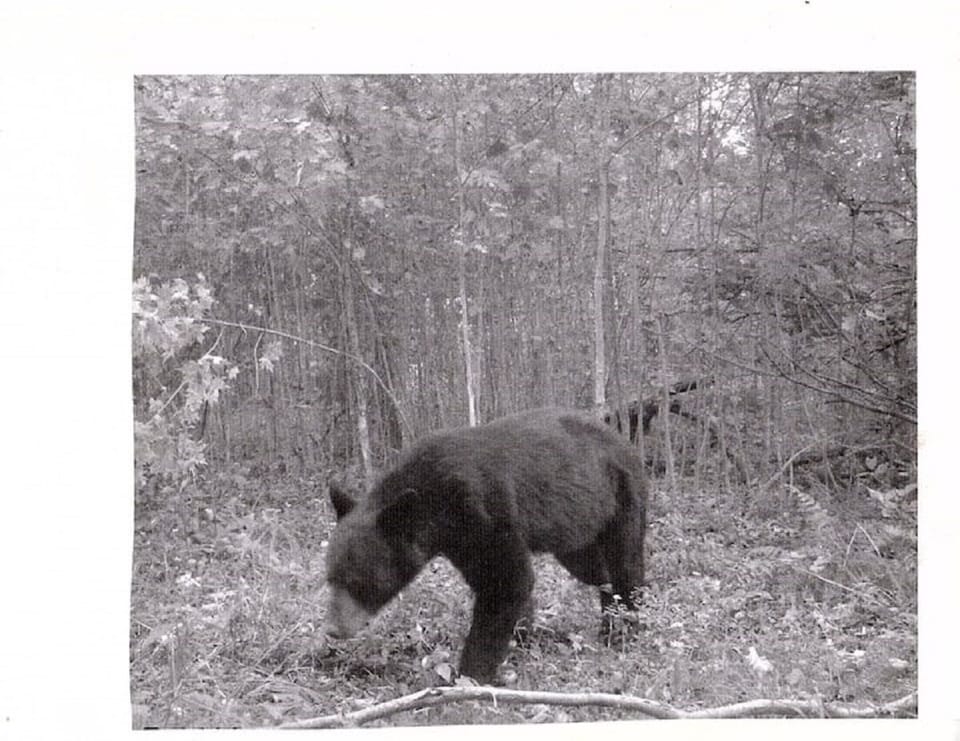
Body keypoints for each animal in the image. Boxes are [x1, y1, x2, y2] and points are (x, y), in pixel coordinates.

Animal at [323, 408, 647, 684]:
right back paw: (609, 617)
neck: (437, 506)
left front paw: (469, 677)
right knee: (595, 570)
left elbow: (506, 582)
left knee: (625, 564)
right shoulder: (460, 541)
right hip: (577, 523)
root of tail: (623, 440)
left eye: (358, 581)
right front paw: (521, 639)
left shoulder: (484, 512)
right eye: (330, 579)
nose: (333, 630)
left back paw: (627, 628)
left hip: (623, 495)